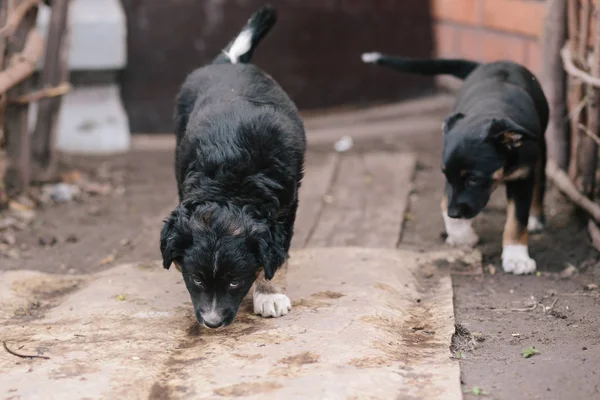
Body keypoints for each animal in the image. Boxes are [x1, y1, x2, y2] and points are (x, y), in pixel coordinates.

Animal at [161, 5, 304, 328]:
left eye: (235, 281)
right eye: (196, 280)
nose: (212, 322)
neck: (229, 179)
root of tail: (229, 62)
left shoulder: (286, 206)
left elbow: (278, 255)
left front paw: (270, 295)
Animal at [360, 51, 548, 274]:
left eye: (473, 179)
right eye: (445, 175)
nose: (455, 213)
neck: (492, 108)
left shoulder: (522, 176)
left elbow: (517, 220)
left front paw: (517, 257)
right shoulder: (449, 178)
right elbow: (445, 202)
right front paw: (462, 236)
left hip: (541, 151)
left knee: (539, 185)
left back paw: (535, 218)